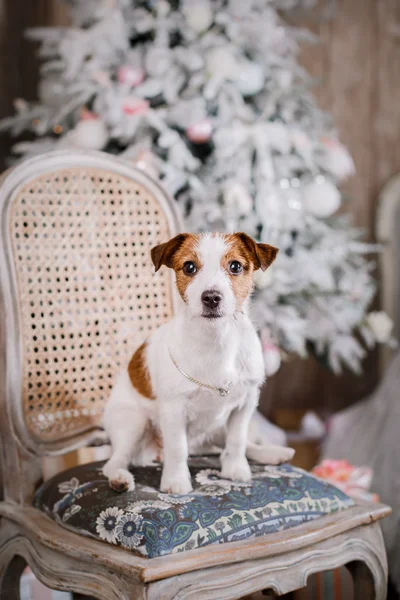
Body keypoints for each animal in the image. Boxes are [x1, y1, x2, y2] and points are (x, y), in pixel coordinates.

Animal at [101, 232, 296, 494]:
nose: (211, 297)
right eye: (189, 267)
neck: (216, 340)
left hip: (216, 427)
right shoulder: (174, 409)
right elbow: (177, 448)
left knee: (236, 445)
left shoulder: (245, 403)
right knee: (116, 460)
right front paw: (176, 481)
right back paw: (119, 478)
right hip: (133, 422)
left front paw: (235, 470)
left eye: (235, 266)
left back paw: (272, 453)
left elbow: (237, 440)